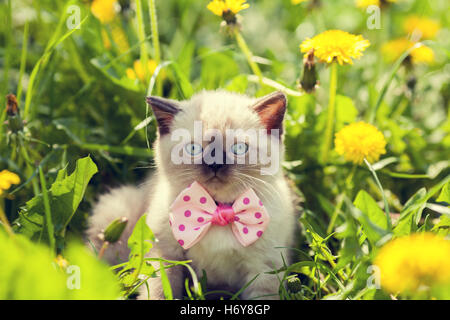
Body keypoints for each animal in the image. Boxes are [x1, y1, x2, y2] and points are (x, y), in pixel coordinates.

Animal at [88, 89, 298, 298]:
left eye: (239, 148)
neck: (217, 209)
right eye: (194, 149)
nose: (215, 164)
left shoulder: (263, 269)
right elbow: (161, 292)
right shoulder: (166, 256)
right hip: (116, 213)